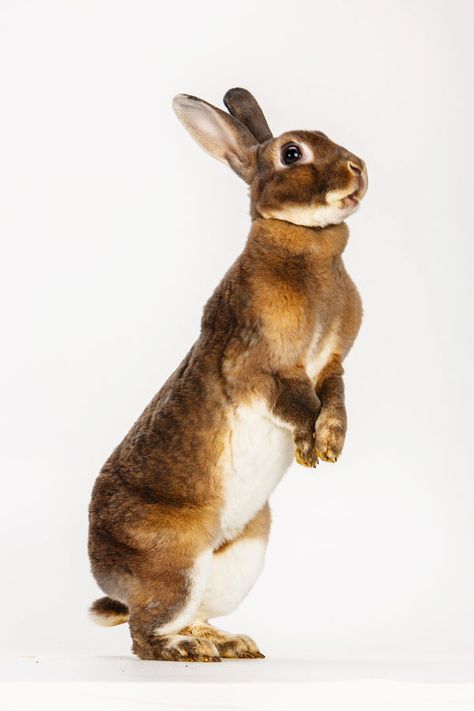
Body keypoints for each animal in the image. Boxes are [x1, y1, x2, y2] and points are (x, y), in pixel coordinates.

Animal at [90, 87, 370, 660]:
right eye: (292, 153)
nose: (359, 167)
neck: (305, 243)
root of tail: (110, 580)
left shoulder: (333, 365)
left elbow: (333, 397)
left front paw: (331, 443)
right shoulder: (256, 366)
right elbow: (296, 401)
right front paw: (311, 446)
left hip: (240, 557)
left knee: (189, 615)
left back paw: (229, 644)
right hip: (174, 564)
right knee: (143, 634)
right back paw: (185, 652)